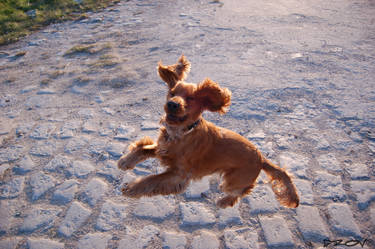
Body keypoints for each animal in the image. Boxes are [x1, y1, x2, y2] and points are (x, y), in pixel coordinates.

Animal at [117, 55, 300, 208]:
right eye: (172, 93)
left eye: (190, 98)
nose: (172, 104)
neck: (180, 133)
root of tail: (262, 158)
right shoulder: (163, 148)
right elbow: (143, 148)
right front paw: (126, 161)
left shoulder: (179, 174)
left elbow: (153, 179)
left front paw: (131, 187)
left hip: (231, 180)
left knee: (242, 191)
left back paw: (224, 202)